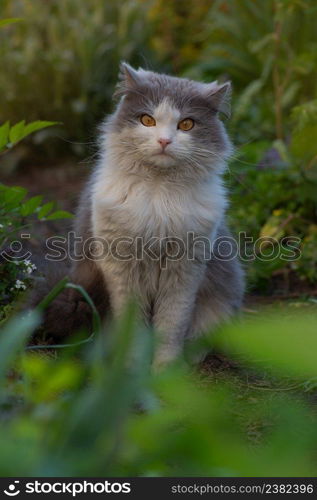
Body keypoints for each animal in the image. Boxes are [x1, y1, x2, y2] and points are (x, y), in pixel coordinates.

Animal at [30, 62, 243, 368]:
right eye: (147, 120)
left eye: (186, 124)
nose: (164, 140)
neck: (158, 194)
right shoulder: (123, 269)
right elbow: (134, 327)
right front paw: (132, 367)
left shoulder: (184, 270)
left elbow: (171, 325)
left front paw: (165, 369)